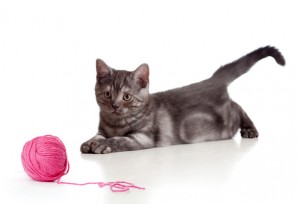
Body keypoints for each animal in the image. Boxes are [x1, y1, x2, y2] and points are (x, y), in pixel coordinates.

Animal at [81, 46, 284, 154]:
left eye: (127, 96)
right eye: (108, 94)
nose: (115, 106)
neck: (115, 123)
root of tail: (212, 80)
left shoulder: (142, 138)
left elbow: (120, 140)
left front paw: (103, 145)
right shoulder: (102, 129)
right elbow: (97, 135)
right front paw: (89, 142)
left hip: (226, 123)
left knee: (238, 107)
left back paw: (249, 128)